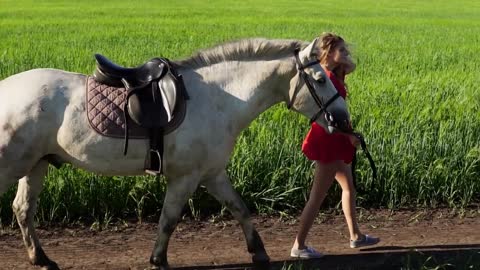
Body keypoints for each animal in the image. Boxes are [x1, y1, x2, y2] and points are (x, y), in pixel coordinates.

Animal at [0, 37, 350, 268]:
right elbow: (169, 219)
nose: (342, 120)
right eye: (320, 78)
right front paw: (158, 259)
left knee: (22, 209)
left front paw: (258, 251)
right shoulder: (186, 177)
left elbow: (239, 208)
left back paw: (41, 258)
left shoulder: (213, 174)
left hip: (36, 165)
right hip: (13, 165)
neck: (219, 98)